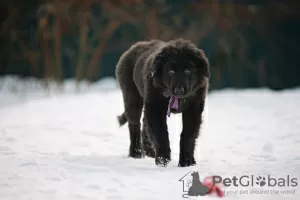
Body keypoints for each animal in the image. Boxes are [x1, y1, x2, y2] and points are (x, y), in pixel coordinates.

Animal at [116, 38, 210, 166]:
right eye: (171, 71)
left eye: (187, 71)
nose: (179, 90)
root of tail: (134, 47)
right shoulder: (155, 107)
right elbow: (161, 134)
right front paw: (162, 160)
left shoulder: (194, 108)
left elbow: (188, 135)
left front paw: (187, 161)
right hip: (132, 96)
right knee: (134, 124)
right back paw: (136, 153)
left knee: (144, 122)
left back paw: (150, 151)